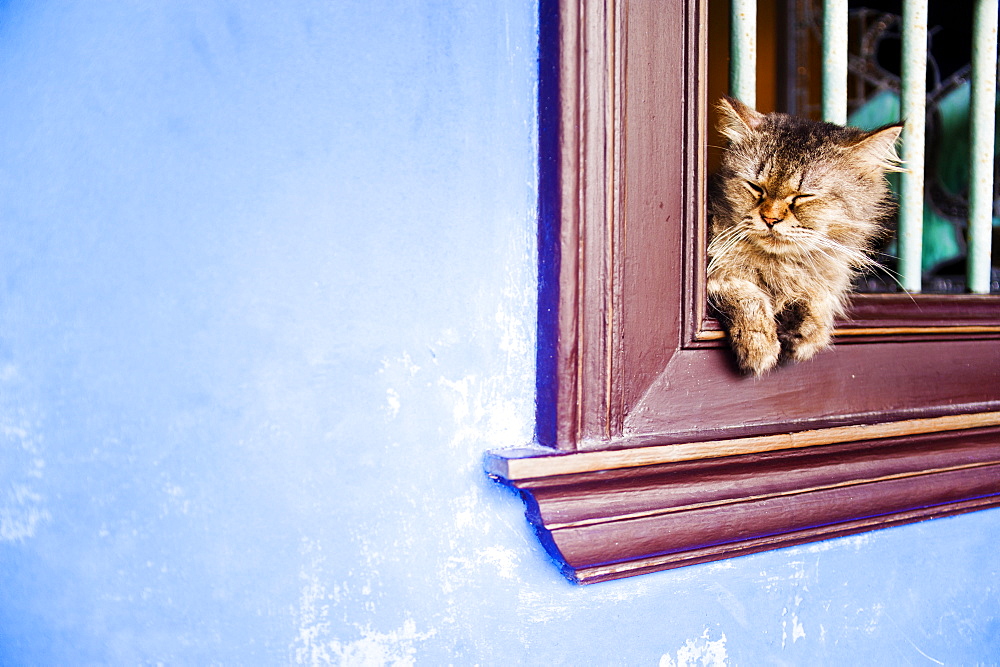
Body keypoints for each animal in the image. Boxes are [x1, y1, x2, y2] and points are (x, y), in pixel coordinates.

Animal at [704, 95, 908, 376]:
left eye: (803, 197)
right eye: (756, 188)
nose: (770, 219)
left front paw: (808, 333)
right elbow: (745, 292)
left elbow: (819, 298)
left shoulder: (824, 278)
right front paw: (759, 344)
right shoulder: (712, 277)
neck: (782, 265)